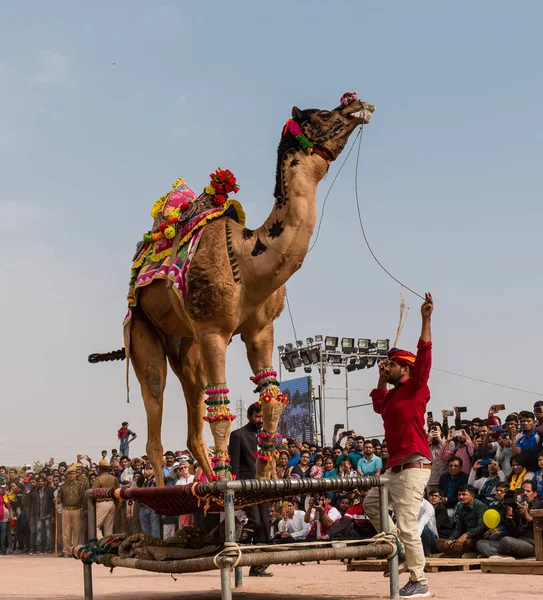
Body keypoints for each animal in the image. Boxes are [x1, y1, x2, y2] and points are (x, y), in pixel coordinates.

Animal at [91, 95, 376, 488]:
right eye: (322, 113)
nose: (358, 103)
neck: (247, 259)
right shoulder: (213, 329)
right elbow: (222, 411)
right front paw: (233, 479)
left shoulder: (261, 329)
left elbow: (272, 397)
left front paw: (268, 476)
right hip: (143, 333)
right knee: (154, 423)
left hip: (185, 346)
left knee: (192, 422)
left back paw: (206, 482)